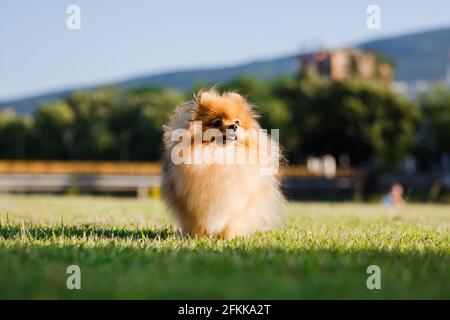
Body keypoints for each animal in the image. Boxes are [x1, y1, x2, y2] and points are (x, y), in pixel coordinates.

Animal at [162, 89, 284, 239]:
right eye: (218, 122)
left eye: (237, 121)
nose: (234, 126)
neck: (222, 156)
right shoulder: (193, 204)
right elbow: (198, 223)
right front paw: (198, 238)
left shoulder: (237, 203)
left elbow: (230, 223)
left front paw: (226, 238)